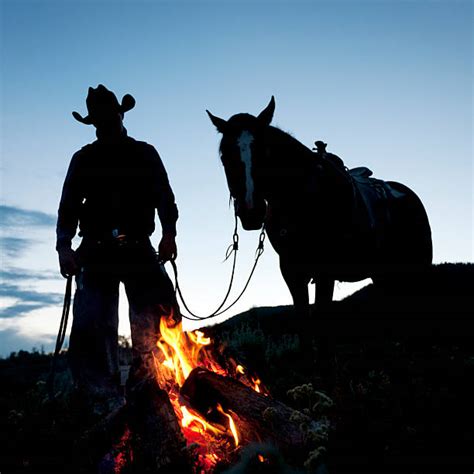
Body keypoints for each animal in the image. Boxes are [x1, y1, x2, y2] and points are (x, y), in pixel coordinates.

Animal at [206, 96, 432, 318]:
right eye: (225, 156)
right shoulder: (291, 272)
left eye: (266, 152)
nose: (251, 211)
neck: (303, 200)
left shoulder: (325, 272)